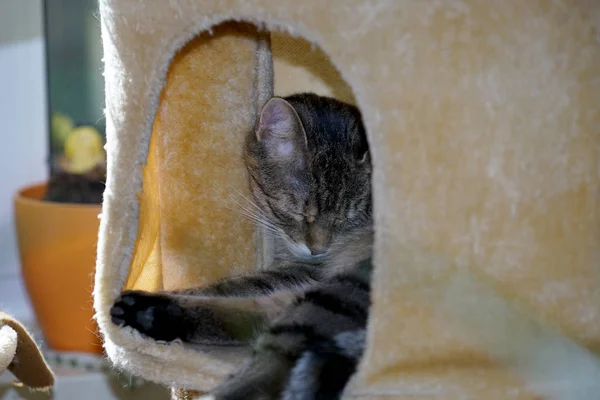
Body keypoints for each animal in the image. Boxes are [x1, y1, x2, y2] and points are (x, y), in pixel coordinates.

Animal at [108, 94, 370, 400]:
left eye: (346, 219)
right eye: (300, 212)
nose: (319, 250)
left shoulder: (303, 270)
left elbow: (225, 287)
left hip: (340, 293)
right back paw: (149, 313)